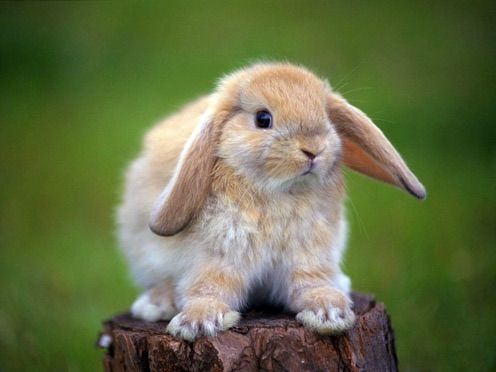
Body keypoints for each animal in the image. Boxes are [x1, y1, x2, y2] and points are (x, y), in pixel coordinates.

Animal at [117, 62, 426, 342]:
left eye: (326, 117)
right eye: (263, 119)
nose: (313, 150)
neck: (279, 191)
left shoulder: (309, 253)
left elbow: (310, 284)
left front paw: (330, 313)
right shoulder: (219, 256)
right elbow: (210, 288)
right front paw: (196, 323)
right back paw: (156, 305)